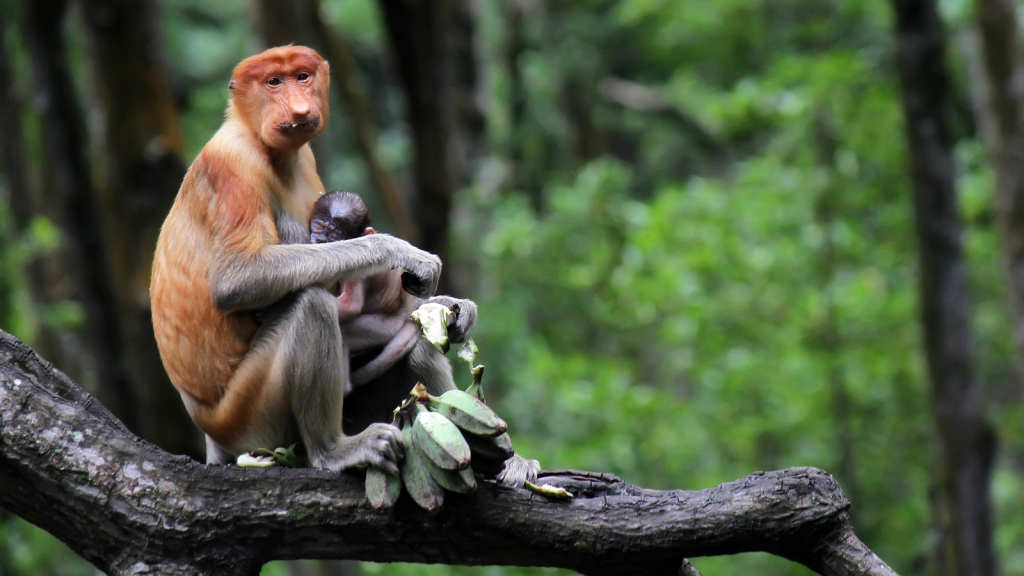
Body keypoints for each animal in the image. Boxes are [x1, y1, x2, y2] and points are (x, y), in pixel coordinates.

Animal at [311, 190, 423, 391]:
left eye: (335, 235)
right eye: (318, 226)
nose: (321, 240)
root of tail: (409, 308)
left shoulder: (355, 269)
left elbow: (351, 305)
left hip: (386, 327)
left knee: (347, 331)